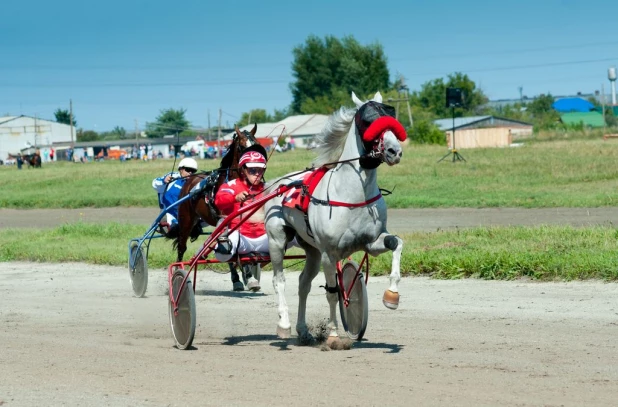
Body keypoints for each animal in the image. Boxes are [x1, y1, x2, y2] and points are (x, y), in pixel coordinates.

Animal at [264, 92, 404, 348]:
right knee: (279, 281)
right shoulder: (330, 253)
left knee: (303, 284)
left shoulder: (372, 242)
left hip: (311, 250)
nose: (394, 151)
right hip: (277, 240)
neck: (353, 195)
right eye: (368, 120)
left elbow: (397, 243)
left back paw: (303, 330)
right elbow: (332, 293)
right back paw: (284, 325)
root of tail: (279, 183)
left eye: (391, 116)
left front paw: (392, 295)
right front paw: (333, 334)